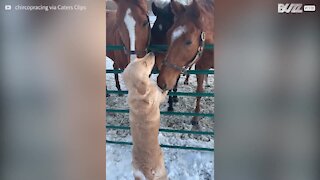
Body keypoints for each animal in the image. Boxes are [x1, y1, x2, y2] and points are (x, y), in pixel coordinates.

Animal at [122, 52, 168, 180]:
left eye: (139, 58)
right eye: (145, 63)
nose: (151, 52)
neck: (138, 94)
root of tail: (145, 169)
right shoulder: (159, 96)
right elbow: (163, 93)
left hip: (136, 174)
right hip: (162, 170)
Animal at [156, 0, 214, 129]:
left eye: (189, 41)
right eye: (168, 35)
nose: (161, 81)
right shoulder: (201, 67)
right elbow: (199, 91)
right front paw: (195, 119)